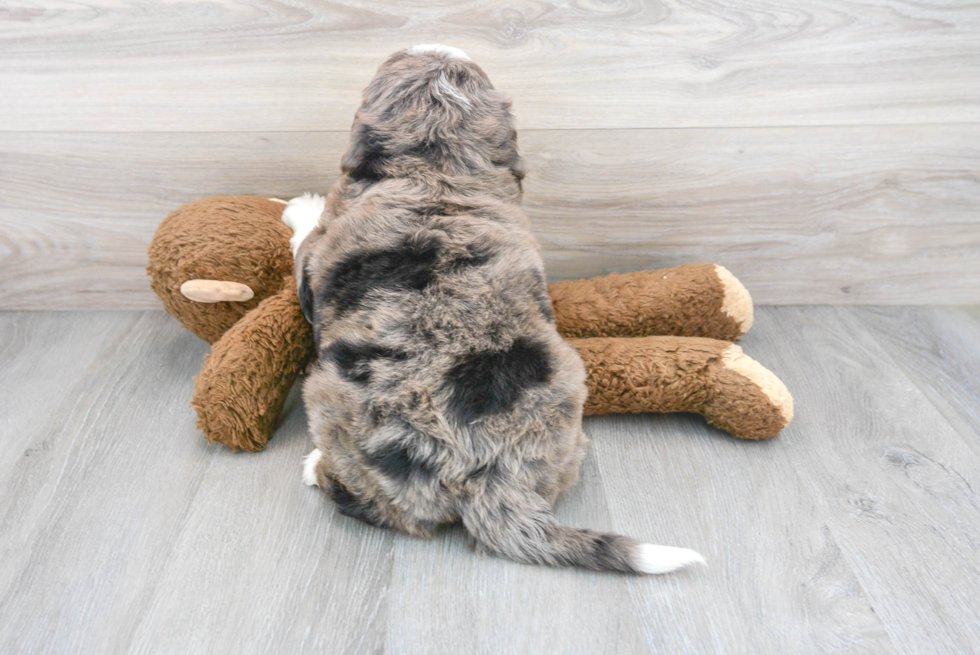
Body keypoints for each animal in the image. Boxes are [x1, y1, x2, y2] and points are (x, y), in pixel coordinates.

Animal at [284, 44, 704, 576]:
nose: (436, 42)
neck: (436, 170)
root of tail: (489, 477)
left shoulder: (315, 256)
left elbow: (305, 234)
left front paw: (300, 203)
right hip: (570, 402)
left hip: (328, 401)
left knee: (366, 501)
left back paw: (316, 467)